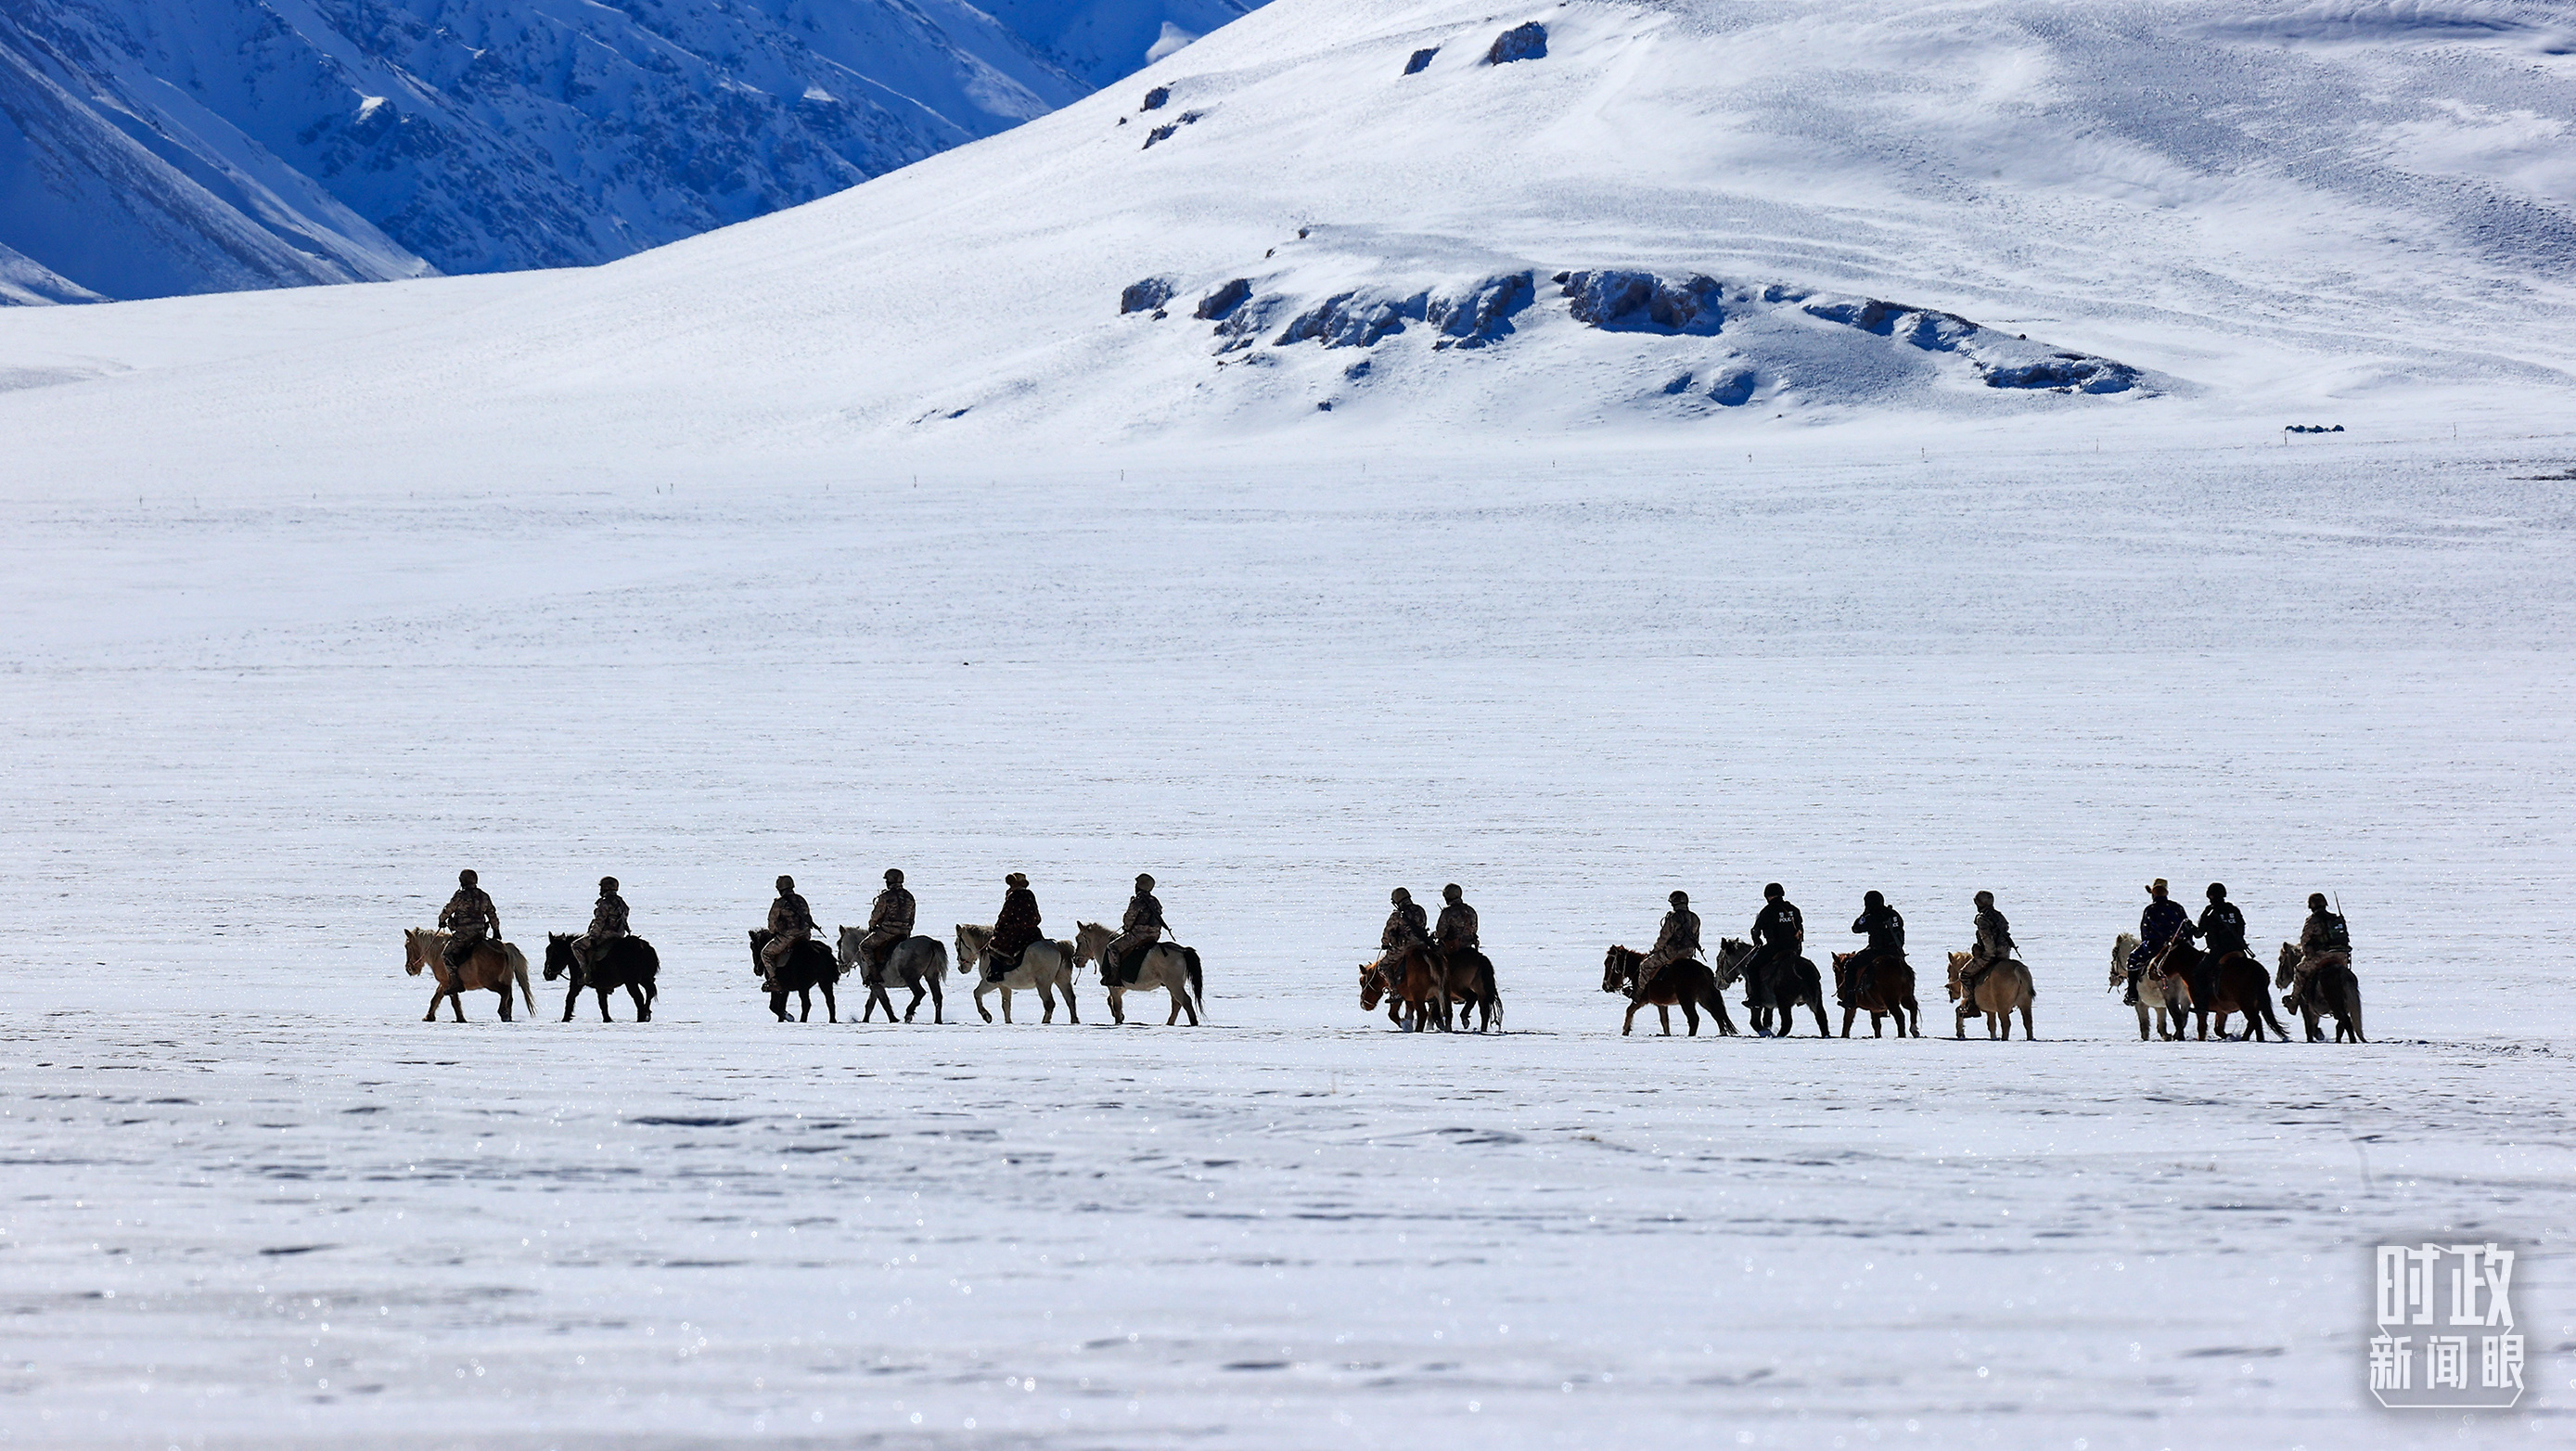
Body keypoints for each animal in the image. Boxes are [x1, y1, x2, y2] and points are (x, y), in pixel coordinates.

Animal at [402, 932, 532, 1021]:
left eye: (407, 946)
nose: (409, 968)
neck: (438, 953)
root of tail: (505, 948)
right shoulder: (445, 983)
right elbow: (436, 998)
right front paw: (429, 1017)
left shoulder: (447, 981)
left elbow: (453, 1001)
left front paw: (460, 1019)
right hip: (505, 979)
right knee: (509, 997)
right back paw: (508, 1016)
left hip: (489, 982)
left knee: (504, 992)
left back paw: (502, 1013)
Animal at [1066, 928, 1205, 1025]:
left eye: (1079, 941)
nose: (1075, 959)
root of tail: (1183, 950)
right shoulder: (1121, 987)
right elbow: (1110, 1001)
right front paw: (1121, 1017)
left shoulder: (1113, 987)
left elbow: (1116, 1006)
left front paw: (1118, 1020)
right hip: (1173, 985)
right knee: (1177, 1004)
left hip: (1174, 985)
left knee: (1185, 1001)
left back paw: (1193, 1023)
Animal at [1596, 948, 1741, 1041]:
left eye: (1608, 964)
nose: (1605, 986)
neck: (1638, 971)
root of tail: (1703, 970)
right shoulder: (1661, 1004)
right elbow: (1664, 1021)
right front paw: (1666, 1034)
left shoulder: (1642, 999)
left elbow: (1629, 1010)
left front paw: (1625, 1031)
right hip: (1704, 999)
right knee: (1717, 1015)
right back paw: (1722, 1033)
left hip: (1686, 1000)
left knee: (1694, 1019)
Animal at [1710, 938, 1834, 1041]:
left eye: (1718, 959)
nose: (1716, 982)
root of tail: (1801, 968)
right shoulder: (1769, 1005)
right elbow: (1766, 1020)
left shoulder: (1757, 1004)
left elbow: (1755, 1022)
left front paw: (1766, 1033)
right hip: (1816, 999)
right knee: (1821, 1018)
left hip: (1784, 1001)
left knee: (1787, 1023)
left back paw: (1778, 1035)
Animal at [2163, 932, 2287, 1046]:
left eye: (2165, 953)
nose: (2156, 970)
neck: (2192, 967)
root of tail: (2258, 970)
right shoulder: (2221, 1011)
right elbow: (2218, 1029)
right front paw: (2229, 1036)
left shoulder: (2200, 1006)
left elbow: (2202, 1027)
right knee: (2253, 1022)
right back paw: (2245, 1038)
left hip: (2246, 1004)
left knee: (2255, 1020)